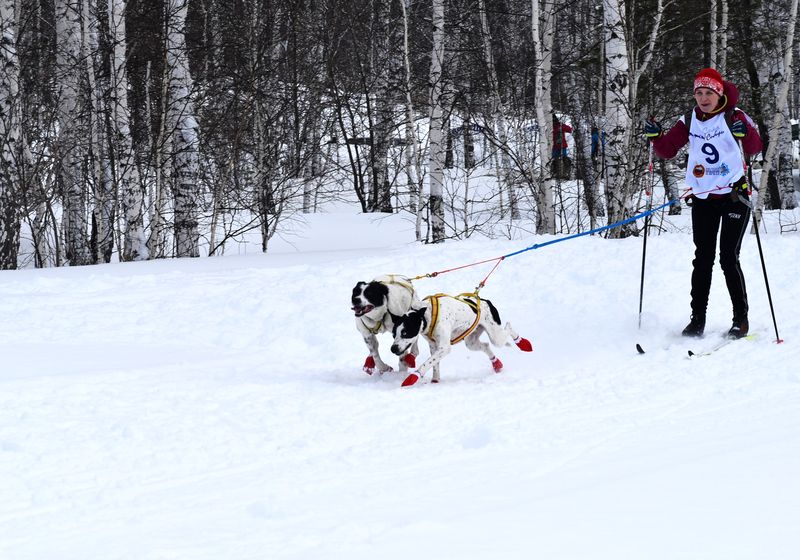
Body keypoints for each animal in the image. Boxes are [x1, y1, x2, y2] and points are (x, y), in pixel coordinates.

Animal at [388, 296, 532, 388]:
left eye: (405, 332)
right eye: (394, 334)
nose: (393, 349)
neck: (427, 314)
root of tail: (485, 301)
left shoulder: (444, 348)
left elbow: (426, 364)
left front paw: (413, 377)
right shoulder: (434, 346)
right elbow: (434, 364)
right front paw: (435, 380)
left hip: (496, 336)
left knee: (508, 327)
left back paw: (523, 343)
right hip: (471, 342)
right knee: (486, 345)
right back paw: (496, 364)